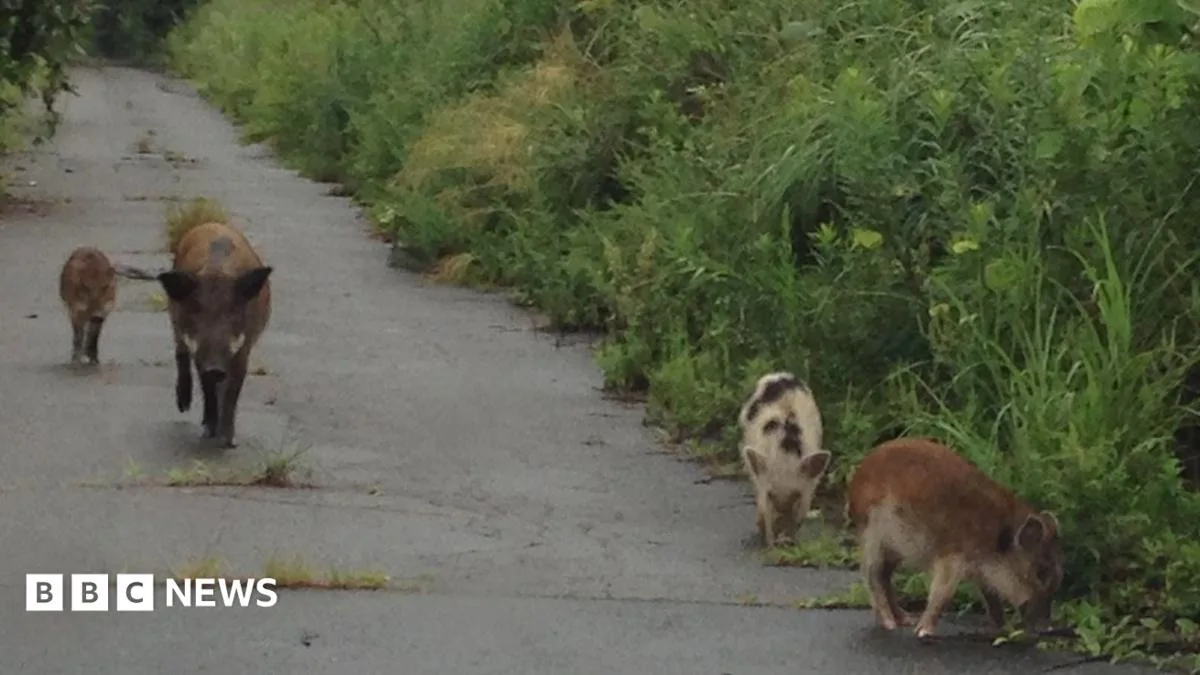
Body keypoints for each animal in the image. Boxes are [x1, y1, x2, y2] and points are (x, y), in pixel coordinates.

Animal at [156, 221, 272, 448]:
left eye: (233, 312)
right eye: (196, 311)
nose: (215, 367)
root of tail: (211, 223)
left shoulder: (243, 347)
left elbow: (233, 388)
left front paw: (228, 441)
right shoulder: (198, 349)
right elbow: (206, 385)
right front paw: (208, 432)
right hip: (174, 319)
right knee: (180, 353)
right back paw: (184, 406)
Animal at [846, 437, 1065, 639]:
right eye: (1040, 572)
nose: (1047, 628)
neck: (996, 539)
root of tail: (855, 483)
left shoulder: (983, 573)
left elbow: (991, 598)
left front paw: (1004, 629)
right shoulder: (951, 558)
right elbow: (942, 594)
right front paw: (924, 632)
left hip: (895, 549)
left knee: (885, 575)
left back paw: (906, 619)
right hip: (874, 535)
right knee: (871, 573)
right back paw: (890, 624)